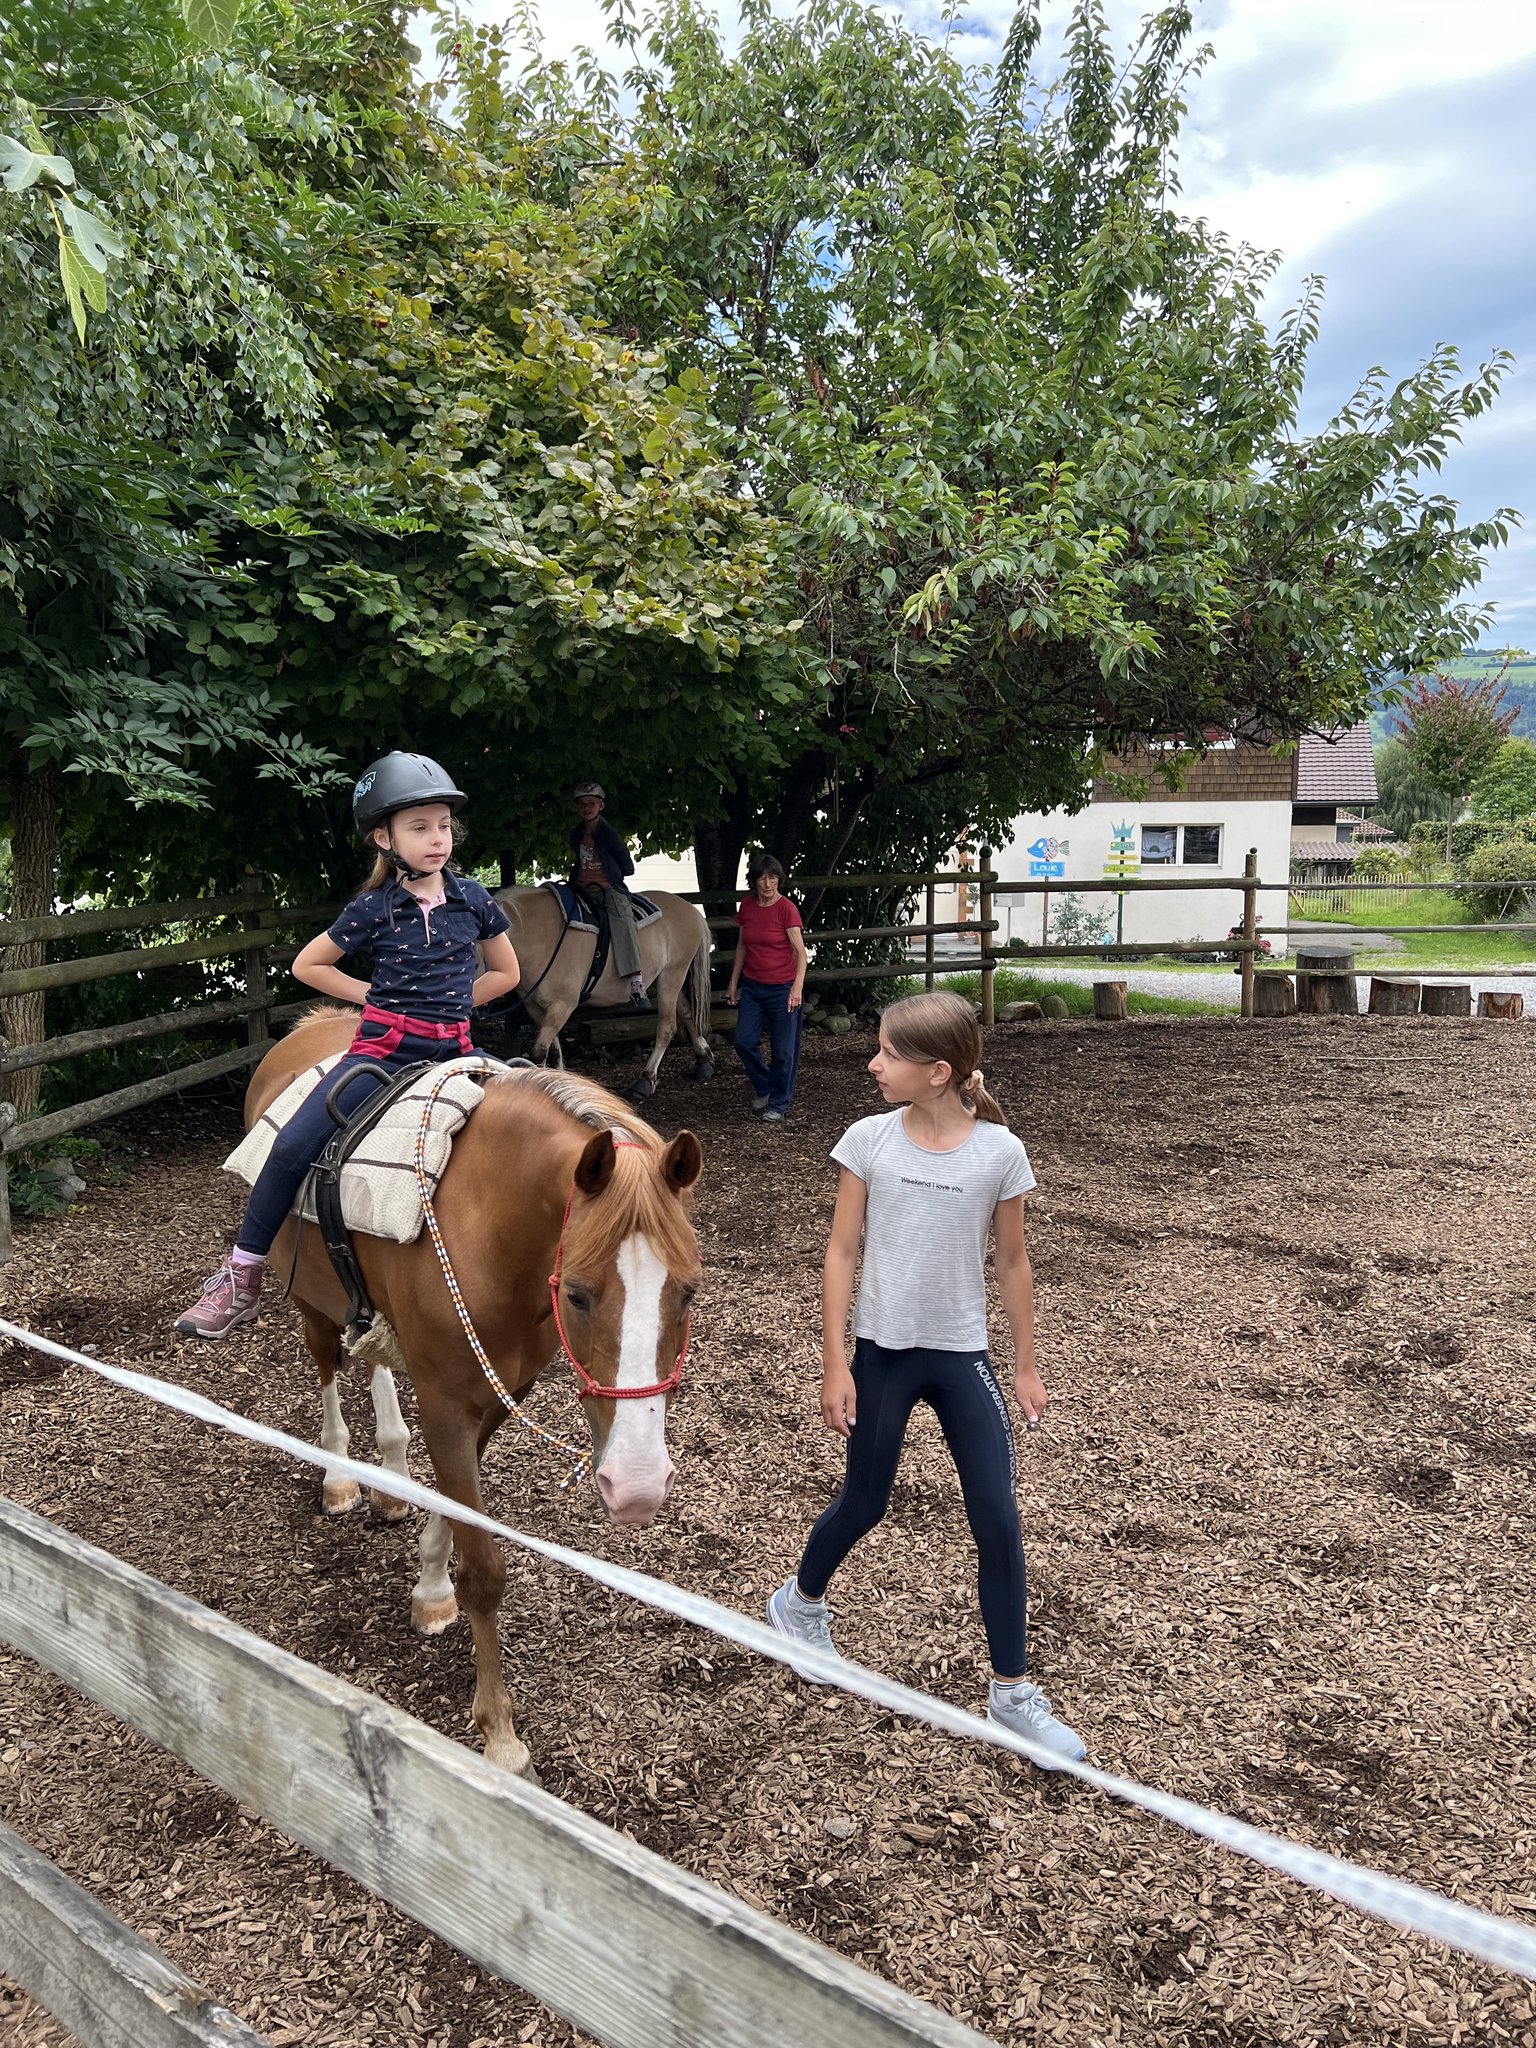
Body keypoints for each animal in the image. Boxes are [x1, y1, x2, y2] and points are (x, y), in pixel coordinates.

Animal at [249, 1008, 703, 1779]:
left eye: (690, 1290)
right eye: (577, 1294)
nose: (638, 1485)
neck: (489, 1225)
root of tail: (315, 1024)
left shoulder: (492, 1395)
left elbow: (453, 1507)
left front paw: (431, 1585)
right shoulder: (447, 1402)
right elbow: (485, 1570)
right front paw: (500, 1735)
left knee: (372, 1360)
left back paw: (390, 1476)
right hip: (307, 1294)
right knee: (326, 1367)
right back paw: (342, 1477)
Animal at [491, 885, 716, 1098]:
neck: (543, 936)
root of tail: (691, 910)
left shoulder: (563, 1005)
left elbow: (539, 1053)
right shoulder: (537, 1008)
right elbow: (553, 1049)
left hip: (672, 974)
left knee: (667, 1026)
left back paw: (645, 1080)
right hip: (669, 979)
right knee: (687, 1013)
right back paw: (704, 1061)